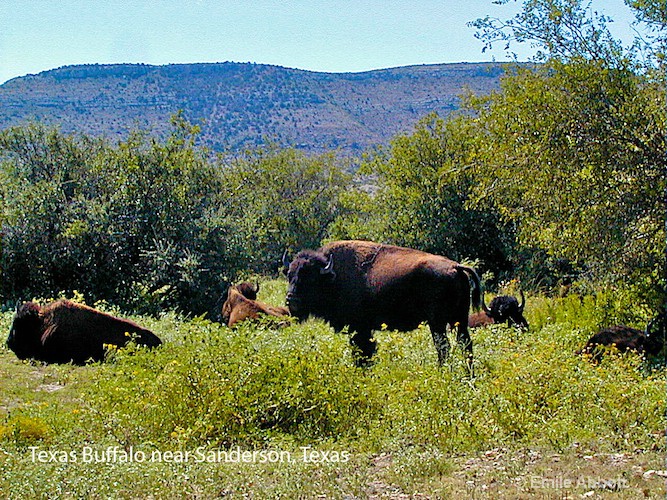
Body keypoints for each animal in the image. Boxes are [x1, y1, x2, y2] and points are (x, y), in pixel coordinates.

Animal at [284, 240, 482, 370]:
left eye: (310, 278)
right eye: (290, 275)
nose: (291, 299)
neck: (333, 276)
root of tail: (456, 267)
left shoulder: (359, 328)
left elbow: (363, 350)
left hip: (438, 323)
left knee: (443, 347)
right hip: (460, 321)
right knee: (465, 345)